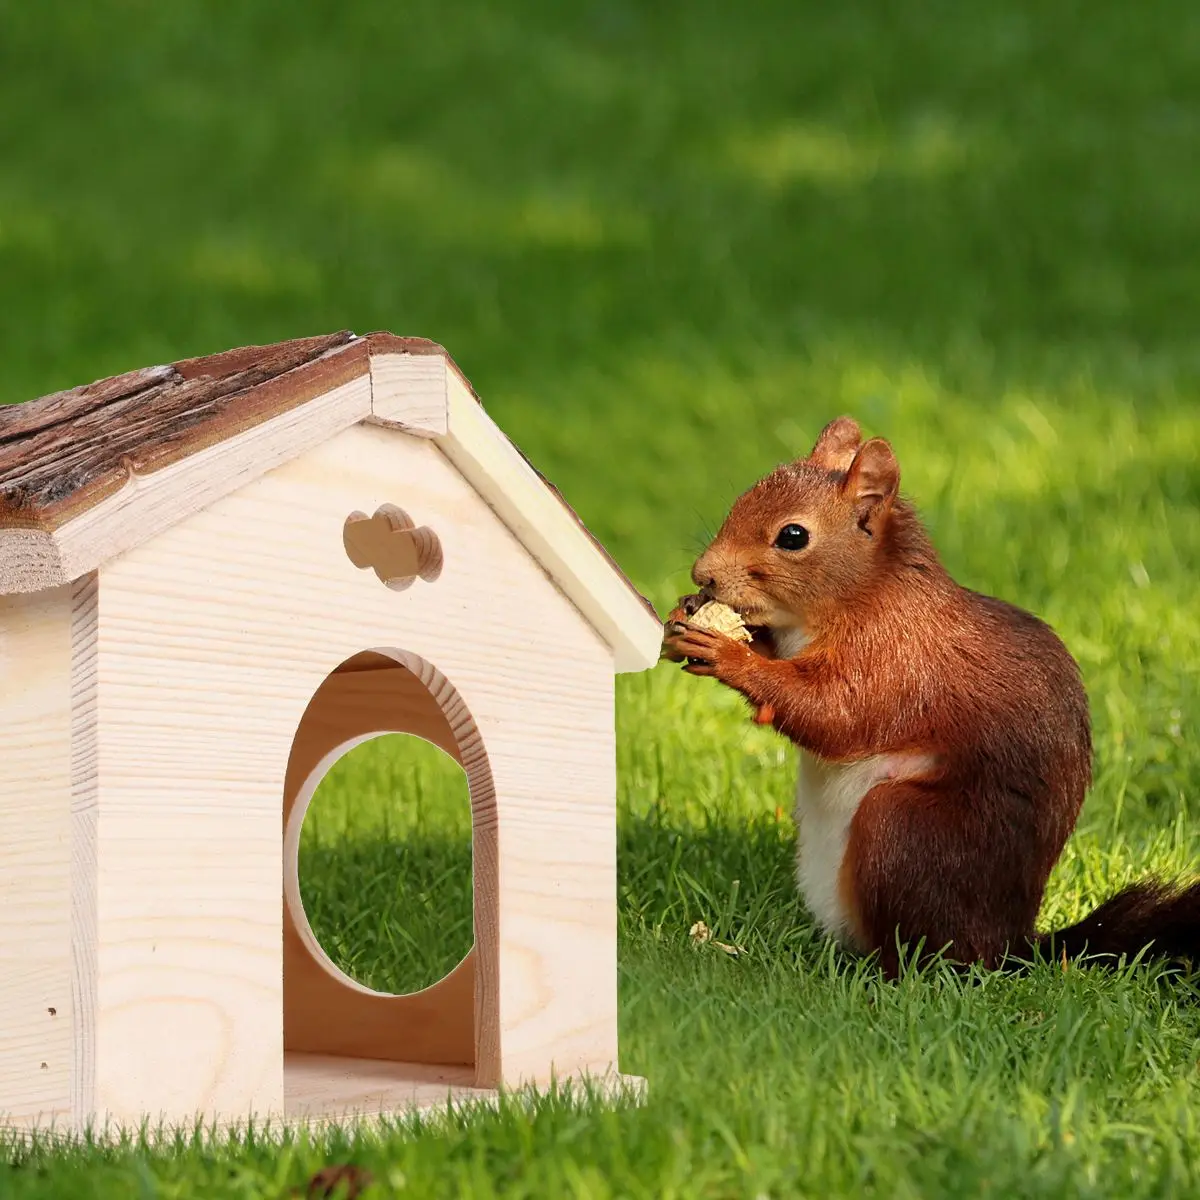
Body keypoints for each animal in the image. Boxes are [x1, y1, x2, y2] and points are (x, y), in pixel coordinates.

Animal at [662, 417, 1195, 979]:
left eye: (793, 536)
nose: (703, 575)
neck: (861, 594)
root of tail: (1009, 946)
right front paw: (691, 617)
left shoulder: (895, 659)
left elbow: (834, 715)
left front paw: (725, 653)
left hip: (903, 831)